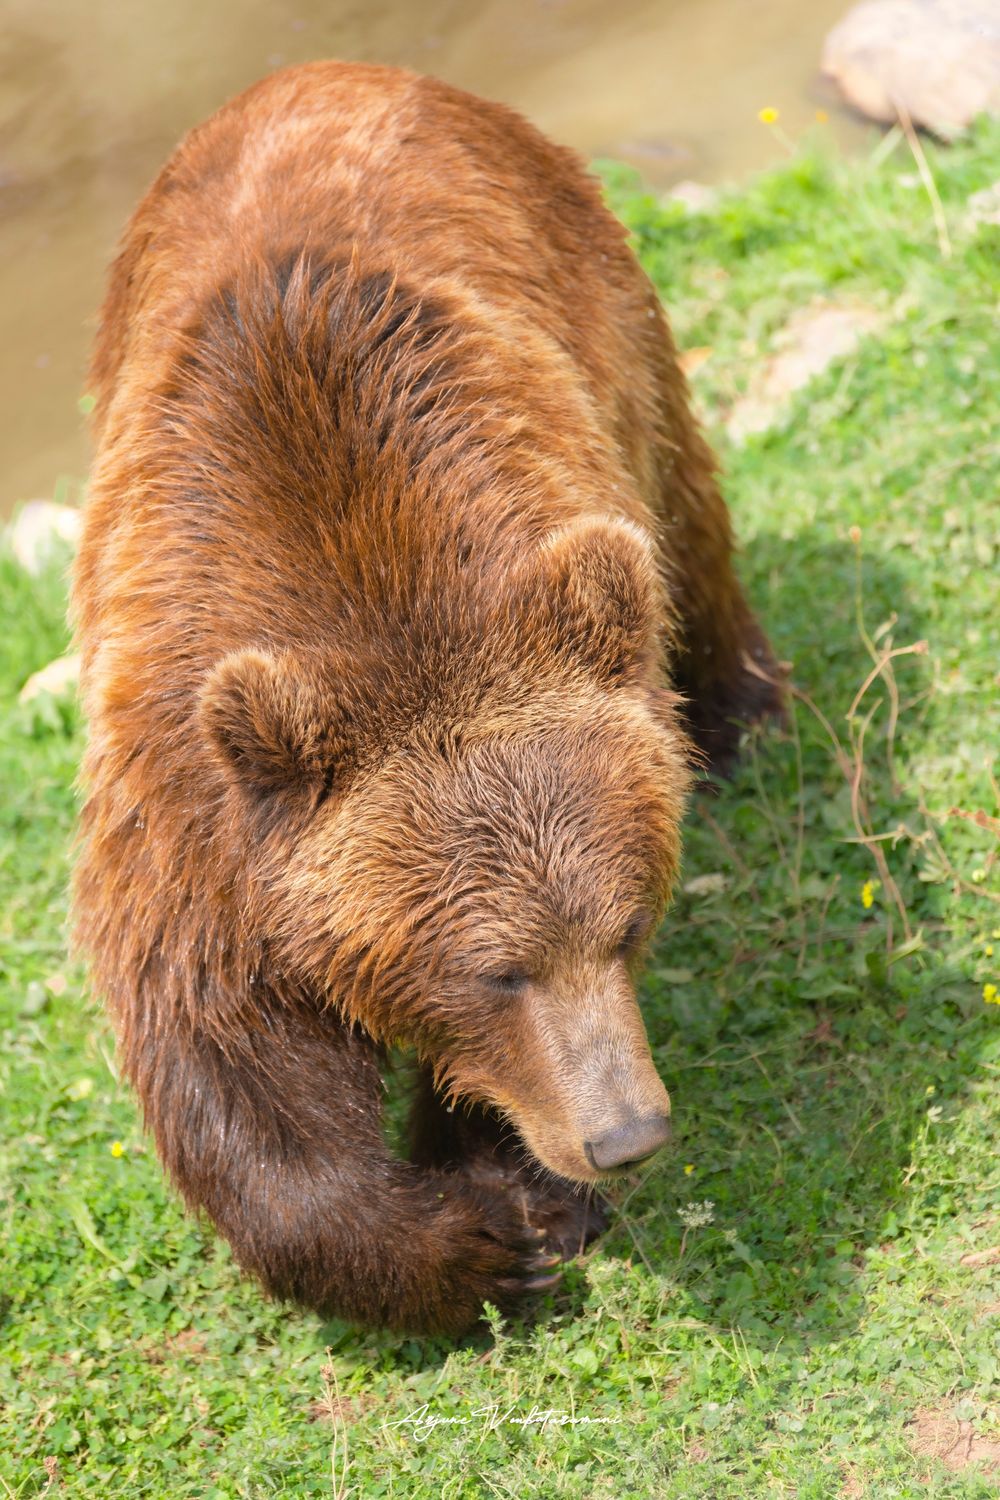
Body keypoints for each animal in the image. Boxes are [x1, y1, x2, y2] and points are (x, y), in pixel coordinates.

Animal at [71, 60, 783, 1336]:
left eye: (629, 926)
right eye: (493, 967)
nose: (626, 1135)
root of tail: (321, 71)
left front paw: (515, 1187)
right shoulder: (187, 787)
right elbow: (217, 1046)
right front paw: (474, 1246)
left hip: (604, 307)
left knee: (680, 506)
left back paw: (738, 708)